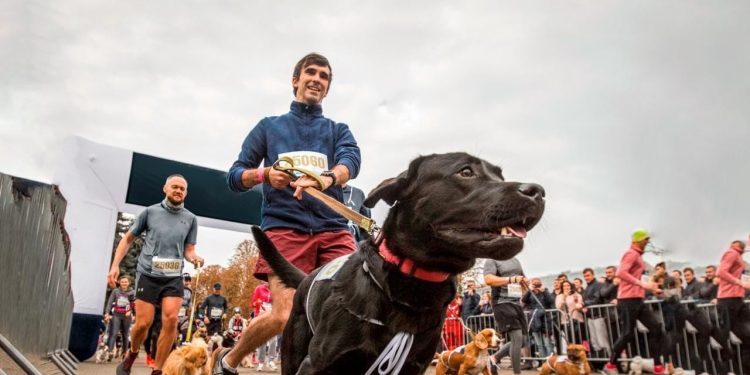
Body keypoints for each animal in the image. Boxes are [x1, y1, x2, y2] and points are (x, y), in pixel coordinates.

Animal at [253, 151, 548, 374]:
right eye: (465, 172)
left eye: (500, 176)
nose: (538, 191)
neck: (409, 286)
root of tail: (307, 277)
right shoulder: (315, 364)